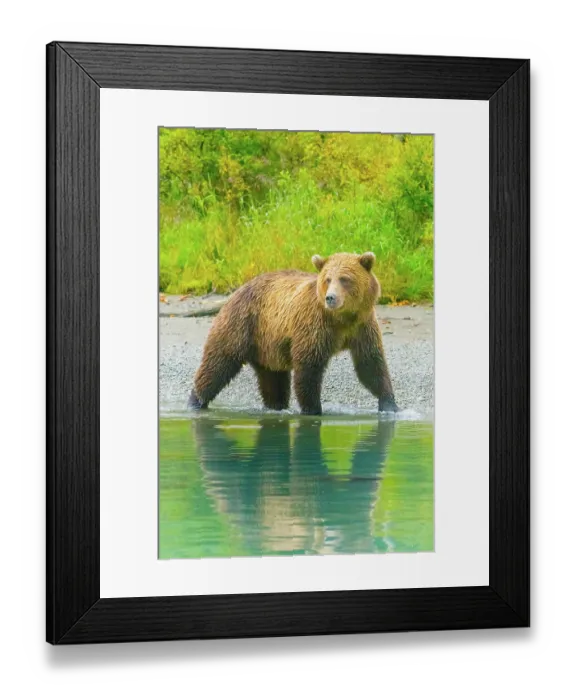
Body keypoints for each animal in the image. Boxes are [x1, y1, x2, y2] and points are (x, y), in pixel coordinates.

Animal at [188, 251, 399, 415]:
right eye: (328, 279)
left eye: (345, 279)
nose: (331, 298)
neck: (342, 319)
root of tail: (237, 291)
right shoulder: (314, 327)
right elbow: (309, 368)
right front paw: (313, 409)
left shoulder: (362, 327)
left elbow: (370, 364)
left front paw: (389, 404)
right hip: (242, 325)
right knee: (218, 363)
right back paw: (196, 401)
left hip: (268, 345)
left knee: (273, 379)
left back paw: (275, 406)